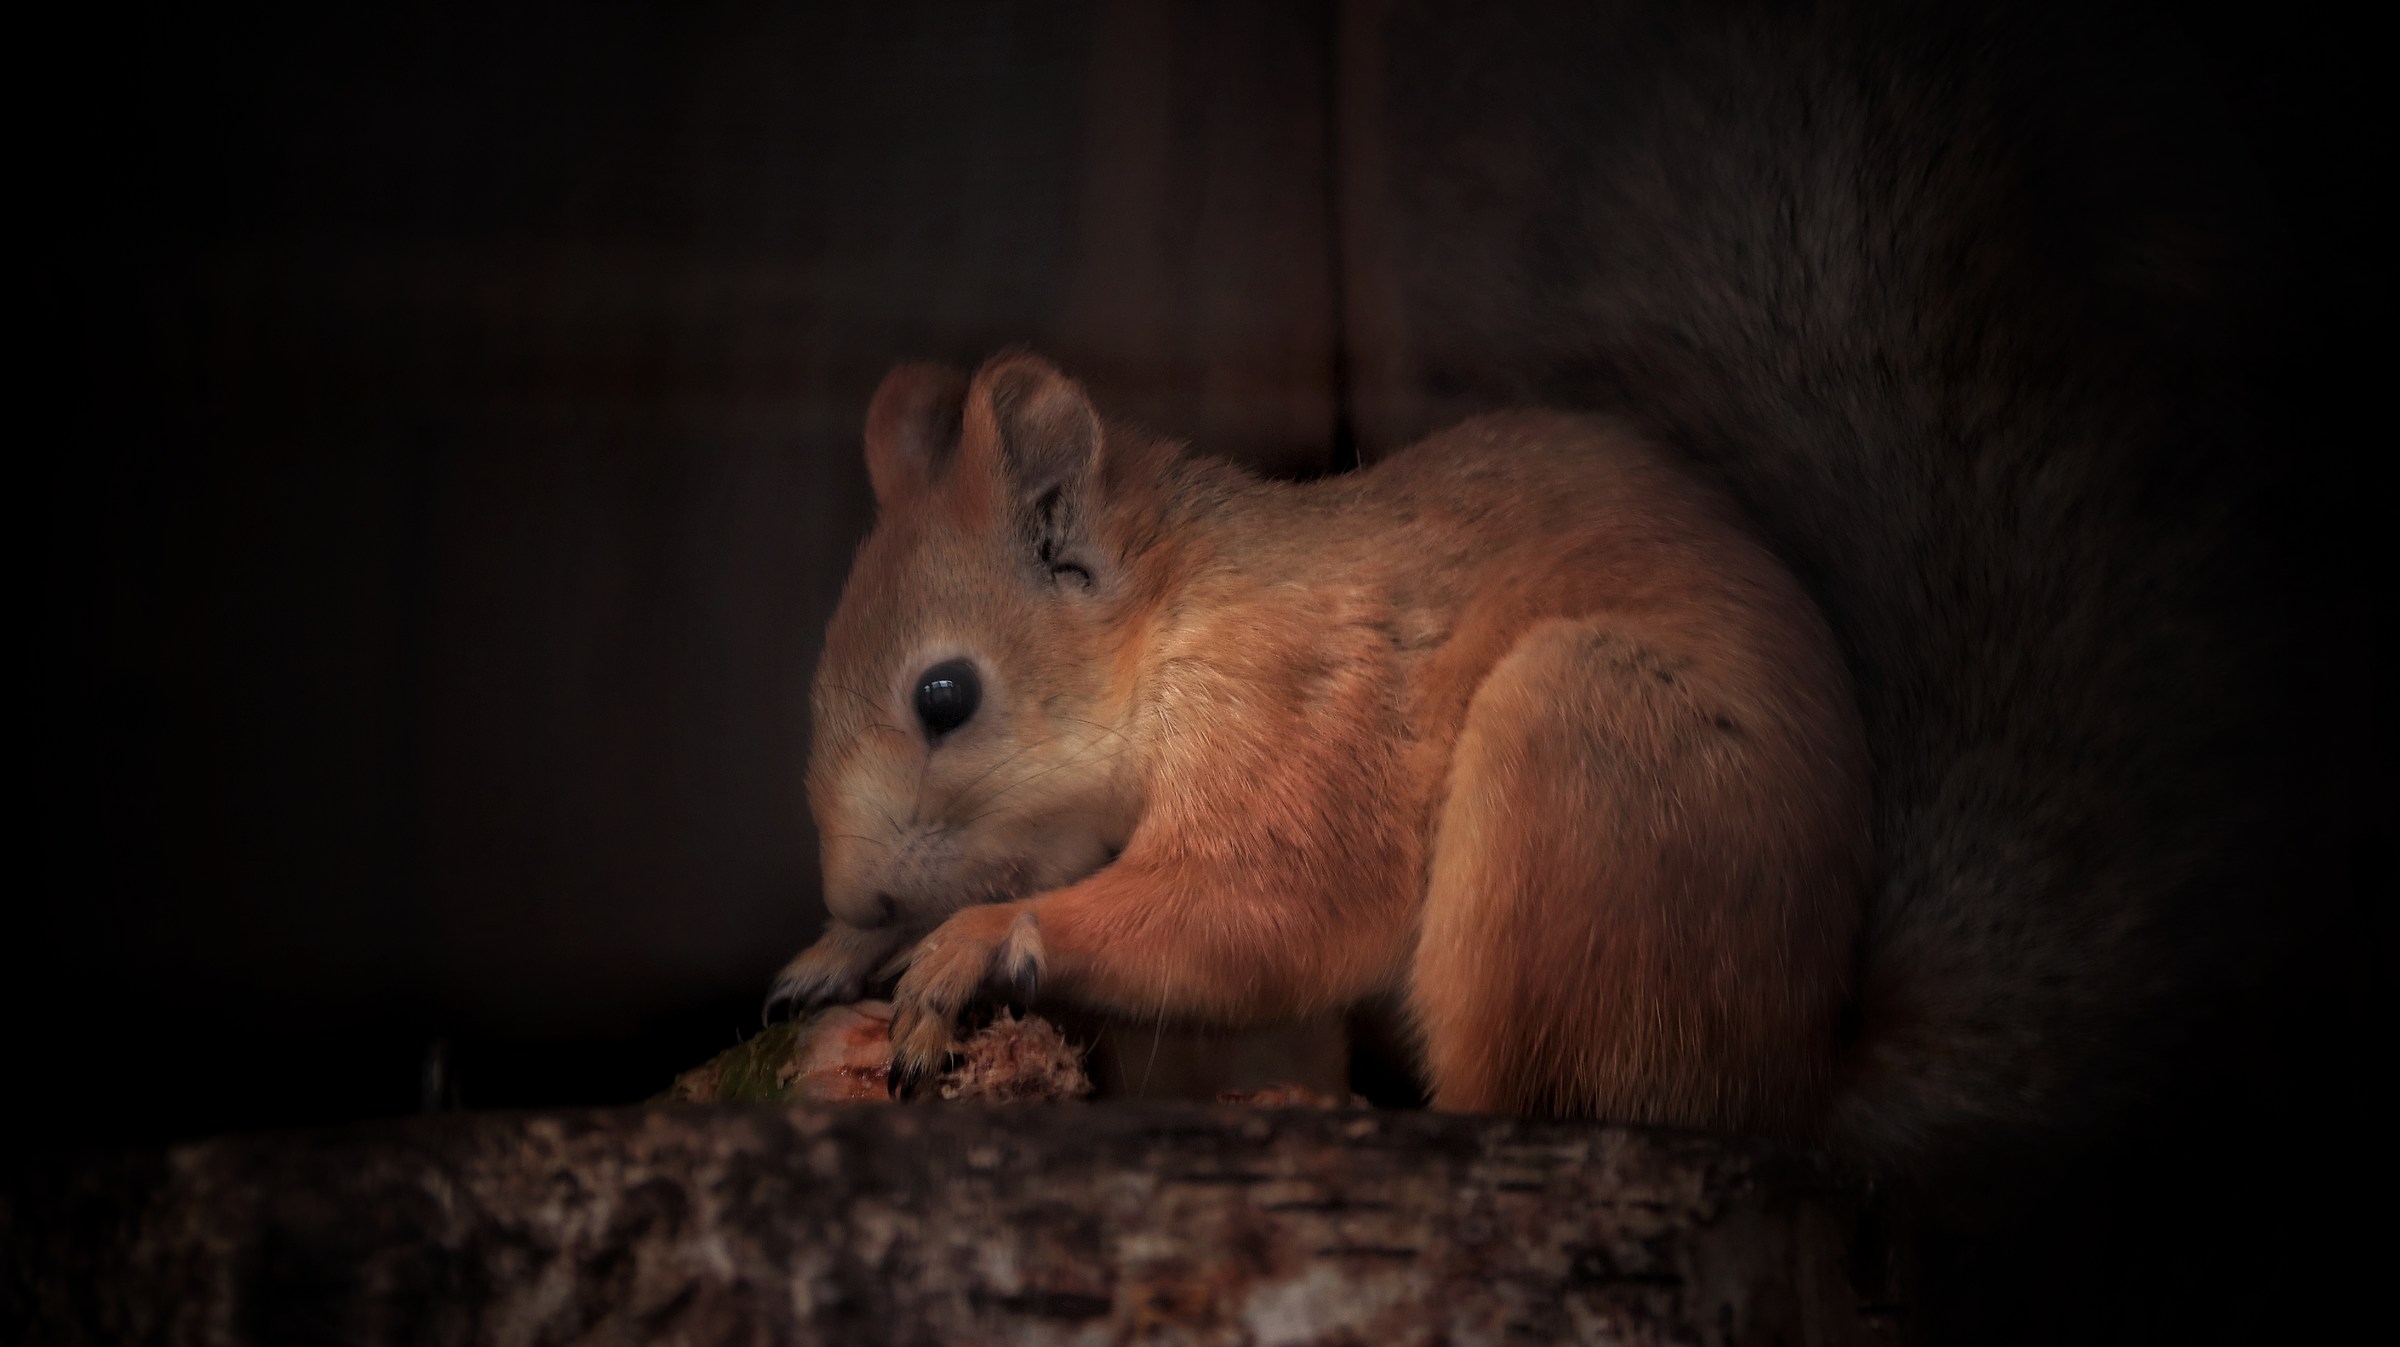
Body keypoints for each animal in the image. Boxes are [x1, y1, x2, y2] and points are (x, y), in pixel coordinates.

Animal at [769, 351, 1871, 1133]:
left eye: (945, 696)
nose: (854, 897)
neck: (1174, 616)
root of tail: (1801, 1070)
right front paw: (848, 948)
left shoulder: (1288, 715)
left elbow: (1268, 907)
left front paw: (976, 940)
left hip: (1587, 761)